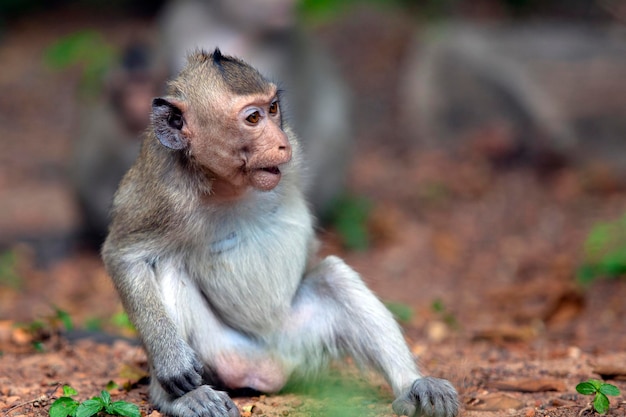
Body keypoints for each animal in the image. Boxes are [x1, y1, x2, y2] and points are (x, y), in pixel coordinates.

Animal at [102, 49, 458, 416]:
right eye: (252, 118)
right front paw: (172, 361)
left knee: (333, 278)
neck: (227, 184)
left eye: (273, 109)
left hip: (302, 344)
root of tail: (268, 369)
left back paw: (414, 386)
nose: (282, 144)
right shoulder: (160, 192)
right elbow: (124, 256)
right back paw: (184, 398)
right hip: (222, 353)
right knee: (168, 266)